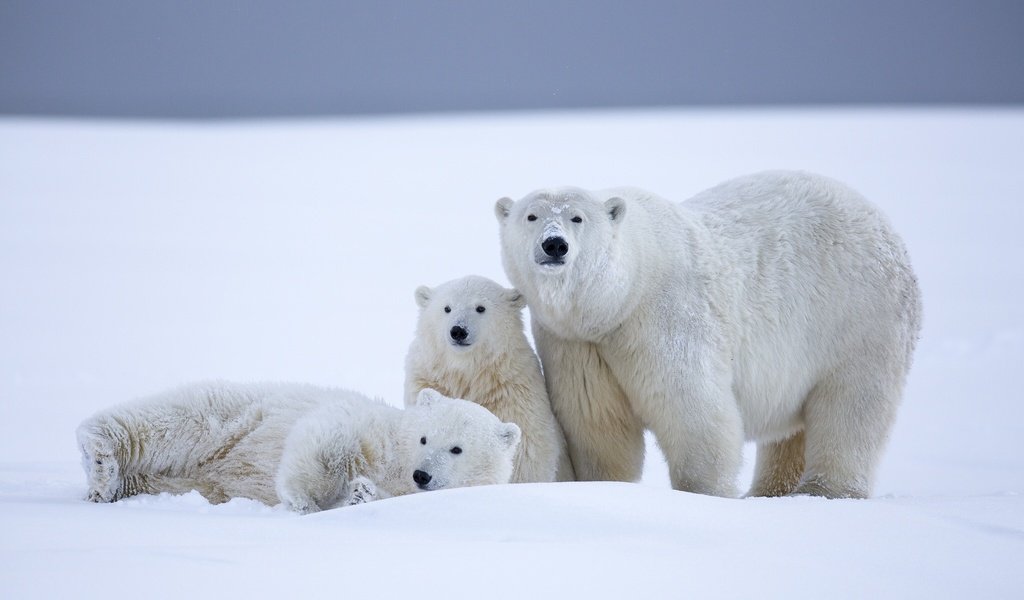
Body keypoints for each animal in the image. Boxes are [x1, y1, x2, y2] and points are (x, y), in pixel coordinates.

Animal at [74, 380, 520, 511]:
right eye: (426, 437)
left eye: (457, 449)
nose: (422, 474)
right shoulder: (371, 426)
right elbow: (327, 436)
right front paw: (302, 498)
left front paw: (360, 492)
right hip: (231, 417)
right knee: (171, 420)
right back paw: (99, 457)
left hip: (190, 481)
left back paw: (112, 484)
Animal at [401, 274, 577, 481]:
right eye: (447, 308)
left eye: (480, 308)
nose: (458, 330)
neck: (468, 373)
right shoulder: (428, 379)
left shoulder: (512, 394)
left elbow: (526, 453)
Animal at [493, 170, 921, 497]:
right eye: (531, 216)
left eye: (577, 218)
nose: (554, 245)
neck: (619, 298)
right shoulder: (576, 343)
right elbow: (598, 423)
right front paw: (603, 484)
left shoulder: (664, 316)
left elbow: (693, 410)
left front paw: (705, 494)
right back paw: (770, 491)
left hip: (857, 316)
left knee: (852, 406)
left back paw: (825, 490)